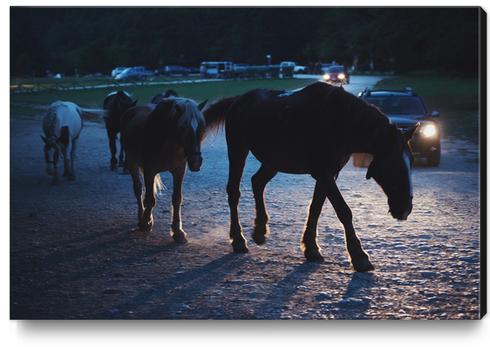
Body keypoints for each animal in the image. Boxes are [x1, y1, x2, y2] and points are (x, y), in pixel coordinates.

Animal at [122, 98, 209, 243]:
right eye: (183, 128)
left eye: (202, 128)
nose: (196, 162)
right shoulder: (149, 170)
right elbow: (150, 199)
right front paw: (145, 222)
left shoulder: (179, 171)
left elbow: (177, 199)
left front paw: (178, 231)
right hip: (131, 162)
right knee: (138, 189)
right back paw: (141, 217)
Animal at [205, 83, 416, 274]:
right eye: (393, 164)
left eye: (411, 161)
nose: (405, 208)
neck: (340, 121)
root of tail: (239, 99)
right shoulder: (324, 173)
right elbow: (344, 211)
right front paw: (359, 256)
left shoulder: (329, 174)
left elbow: (316, 207)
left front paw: (311, 247)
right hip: (238, 150)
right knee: (234, 191)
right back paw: (238, 239)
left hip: (273, 161)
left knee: (257, 182)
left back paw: (260, 229)